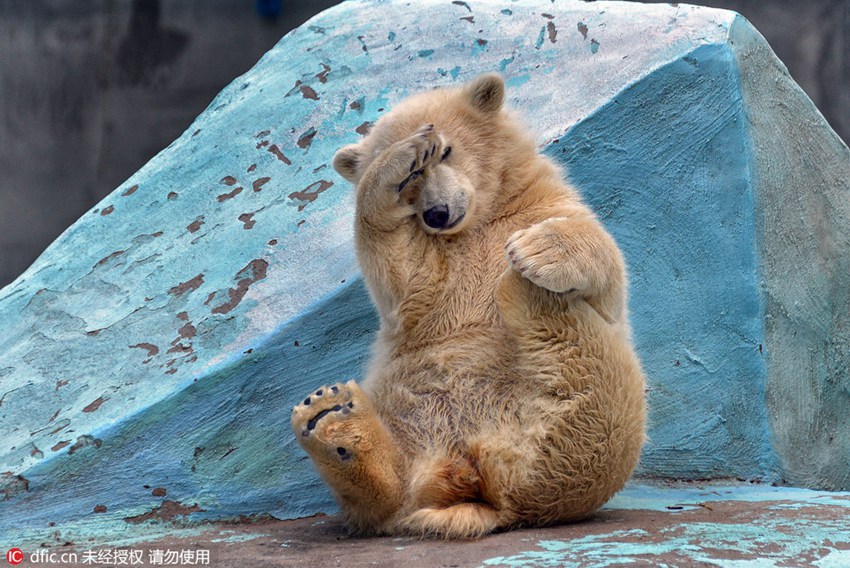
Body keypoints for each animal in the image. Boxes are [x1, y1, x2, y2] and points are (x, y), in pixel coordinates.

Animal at [290, 73, 644, 540]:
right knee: (390, 488)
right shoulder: (438, 265)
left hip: (595, 433)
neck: (482, 217)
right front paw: (398, 158)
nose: (437, 213)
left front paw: (535, 251)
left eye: (448, 150)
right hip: (407, 415)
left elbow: (607, 268)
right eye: (412, 181)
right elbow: (403, 272)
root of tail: (480, 485)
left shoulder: (544, 204)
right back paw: (332, 419)